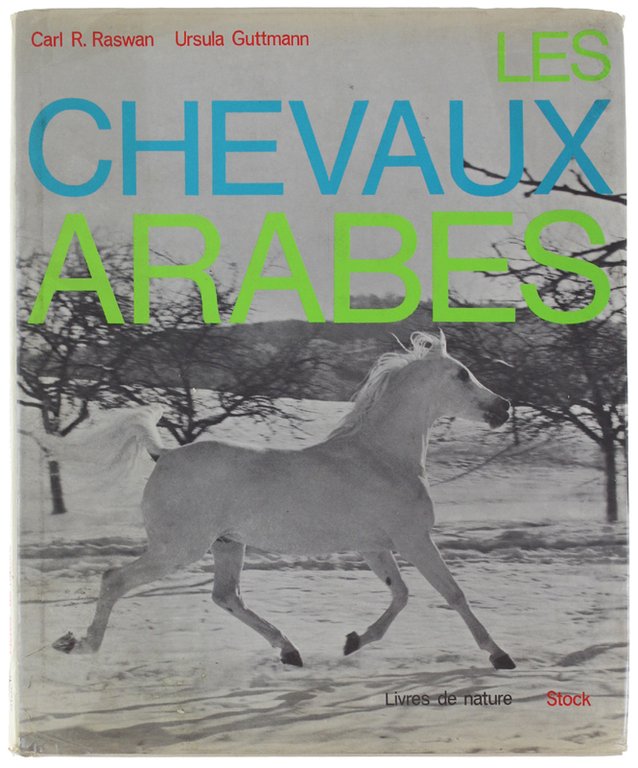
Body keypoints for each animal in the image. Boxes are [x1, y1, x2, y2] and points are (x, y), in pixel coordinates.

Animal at [52, 330, 516, 670]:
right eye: (462, 374)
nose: (505, 407)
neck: (380, 457)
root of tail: (163, 453)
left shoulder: (374, 545)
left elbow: (400, 594)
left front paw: (352, 641)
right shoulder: (413, 539)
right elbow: (453, 594)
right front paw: (500, 655)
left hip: (227, 544)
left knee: (227, 597)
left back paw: (290, 651)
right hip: (178, 549)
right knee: (114, 579)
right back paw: (79, 644)